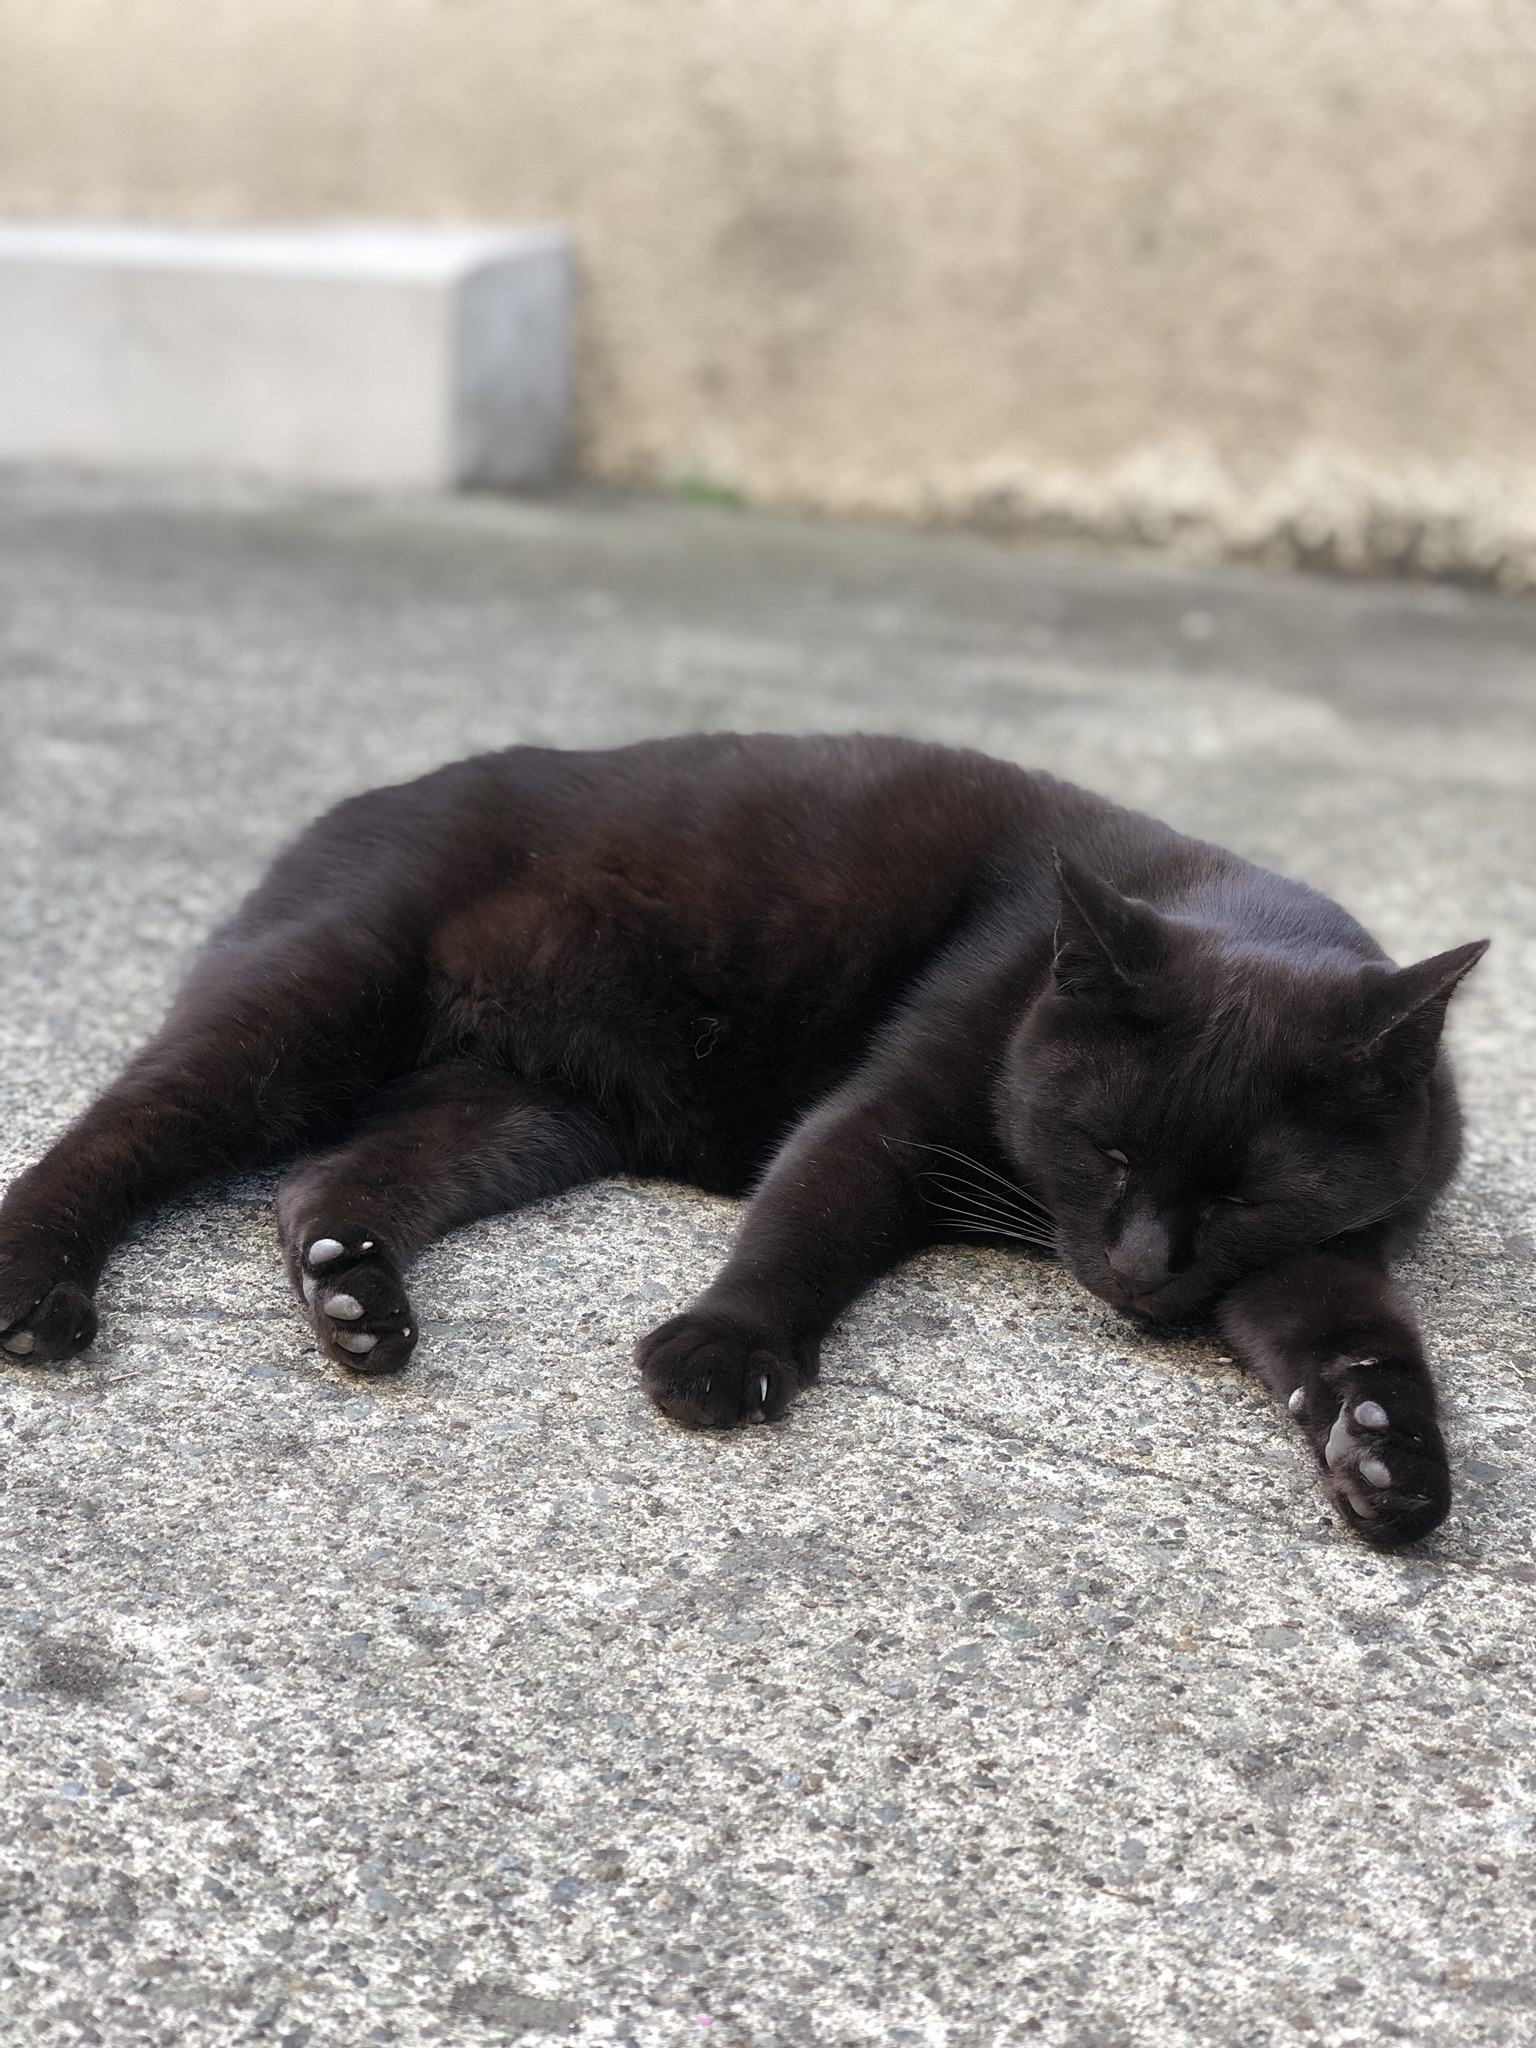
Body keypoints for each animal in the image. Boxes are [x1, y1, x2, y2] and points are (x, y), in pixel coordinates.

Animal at [0, 734, 1486, 1549]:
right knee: (122, 1127)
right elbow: (807, 1216)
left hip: (523, 1111)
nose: (1137, 1270)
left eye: (1240, 1198)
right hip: (308, 1003)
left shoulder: (1325, 1251)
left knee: (328, 1180)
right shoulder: (890, 1114)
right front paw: (725, 1350)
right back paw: (37, 1284)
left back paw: (355, 1295)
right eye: (1105, 1149)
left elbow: (1356, 1338)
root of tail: (355, 798)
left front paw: (1386, 1455)